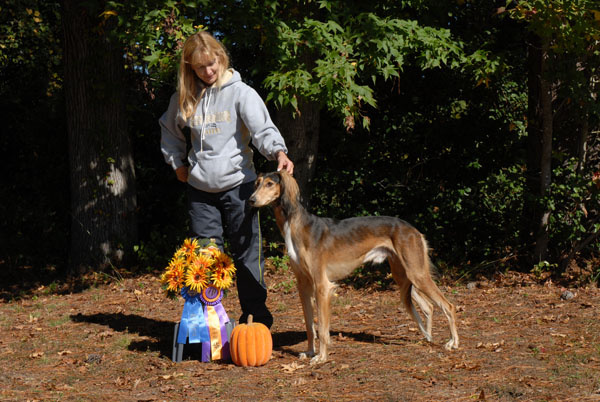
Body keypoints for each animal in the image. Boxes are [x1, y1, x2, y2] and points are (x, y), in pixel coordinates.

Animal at [248, 170, 460, 364]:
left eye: (269, 184)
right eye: (257, 183)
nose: (251, 200)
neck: (296, 225)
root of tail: (413, 229)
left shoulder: (322, 286)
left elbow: (322, 328)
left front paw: (321, 357)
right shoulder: (303, 285)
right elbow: (310, 325)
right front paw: (309, 352)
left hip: (416, 273)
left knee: (448, 305)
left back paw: (453, 342)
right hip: (403, 276)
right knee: (429, 306)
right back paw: (427, 338)